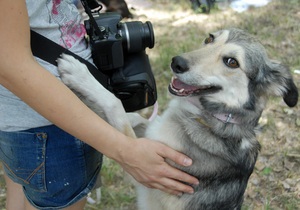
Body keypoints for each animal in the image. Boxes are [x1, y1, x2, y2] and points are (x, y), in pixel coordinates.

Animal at [57, 28, 298, 210]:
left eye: (231, 62)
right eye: (209, 38)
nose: (177, 62)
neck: (215, 119)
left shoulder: (146, 170)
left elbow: (115, 105)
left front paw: (80, 75)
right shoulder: (147, 139)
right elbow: (131, 117)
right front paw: (84, 103)